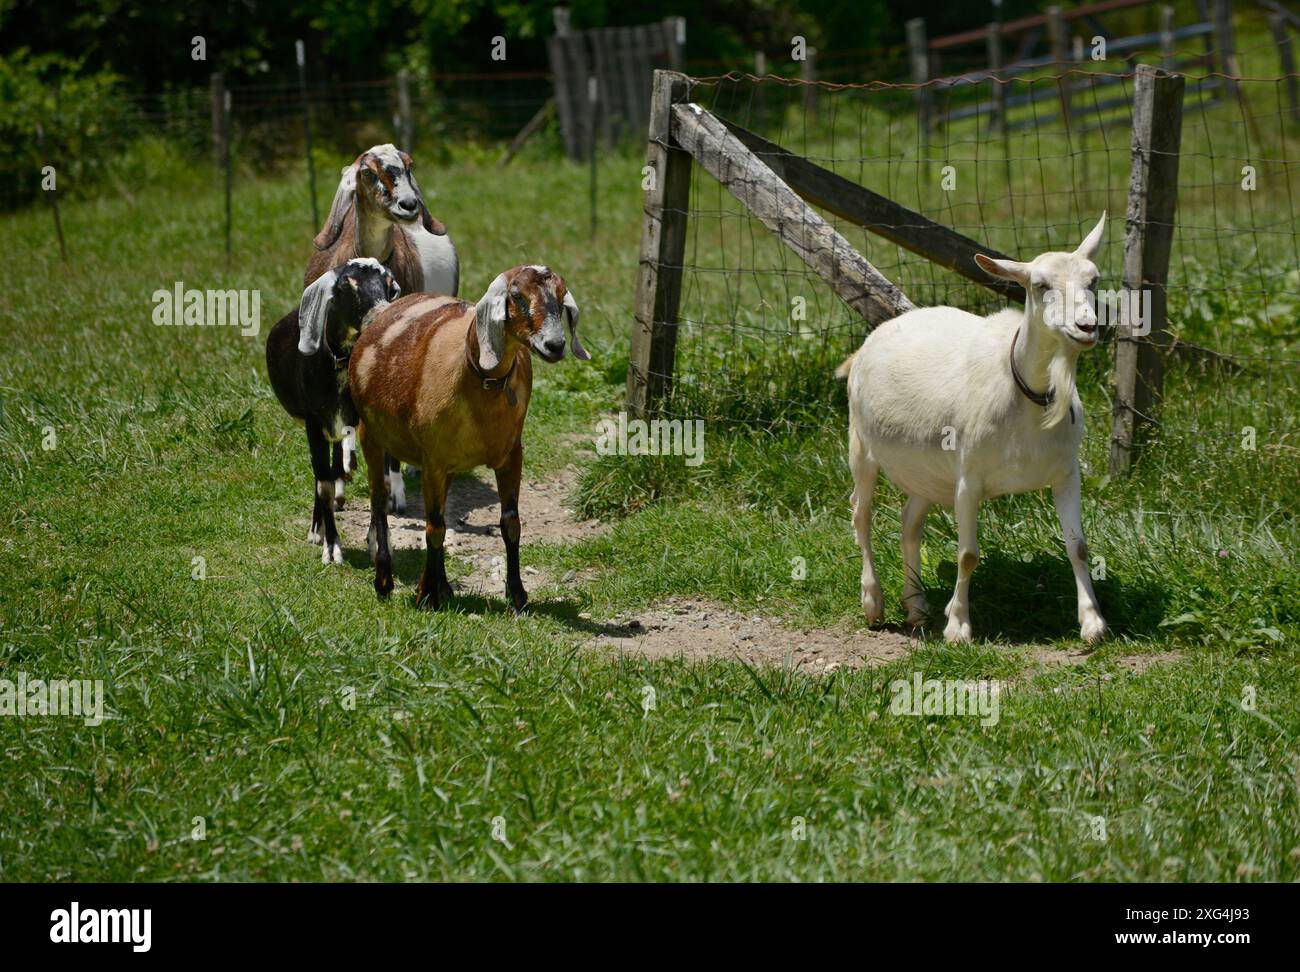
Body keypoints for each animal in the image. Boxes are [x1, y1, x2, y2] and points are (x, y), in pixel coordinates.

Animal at [345, 266, 590, 610]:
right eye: (517, 295)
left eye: (560, 295)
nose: (555, 345)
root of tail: (382, 312)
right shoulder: (432, 458)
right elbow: (434, 528)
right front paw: (426, 596)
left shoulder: (510, 454)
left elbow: (509, 523)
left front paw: (517, 595)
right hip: (372, 435)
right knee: (379, 501)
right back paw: (384, 582)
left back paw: (443, 586)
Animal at [842, 213, 1107, 644]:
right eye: (1040, 285)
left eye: (1093, 280)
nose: (1086, 327)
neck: (1026, 396)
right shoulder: (968, 477)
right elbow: (967, 555)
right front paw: (958, 627)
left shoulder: (1066, 473)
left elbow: (1079, 547)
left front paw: (1092, 622)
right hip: (861, 445)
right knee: (860, 514)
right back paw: (873, 603)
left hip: (928, 471)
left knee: (909, 522)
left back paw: (916, 606)